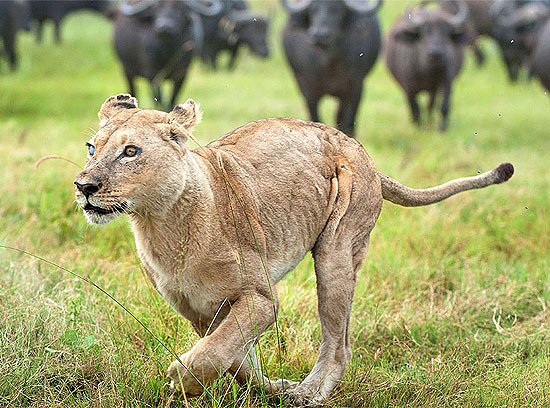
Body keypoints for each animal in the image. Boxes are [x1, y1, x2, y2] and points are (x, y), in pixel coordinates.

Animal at [282, 0, 382, 137]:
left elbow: (348, 124)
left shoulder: (356, 87)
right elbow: (315, 117)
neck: (330, 65)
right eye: (313, 10)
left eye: (336, 10)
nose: (320, 34)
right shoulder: (307, 88)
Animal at [386, 1, 472, 131]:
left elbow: (444, 106)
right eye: (425, 32)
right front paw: (418, 126)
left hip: (434, 89)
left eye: (446, 33)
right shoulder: (408, 87)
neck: (429, 71)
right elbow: (415, 107)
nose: (436, 52)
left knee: (431, 104)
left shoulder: (447, 82)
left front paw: (442, 128)